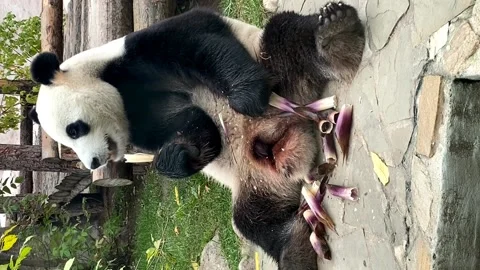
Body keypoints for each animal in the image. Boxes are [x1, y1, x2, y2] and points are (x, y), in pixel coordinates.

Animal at [29, 2, 364, 270]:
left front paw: (246, 99)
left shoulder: (132, 56)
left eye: (75, 129)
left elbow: (199, 45)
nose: (94, 162)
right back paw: (293, 249)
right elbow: (188, 125)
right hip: (256, 184)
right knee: (256, 221)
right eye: (66, 143)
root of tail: (283, 141)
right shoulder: (140, 118)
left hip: (275, 69)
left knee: (285, 38)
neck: (115, 90)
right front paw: (176, 157)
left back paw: (335, 33)